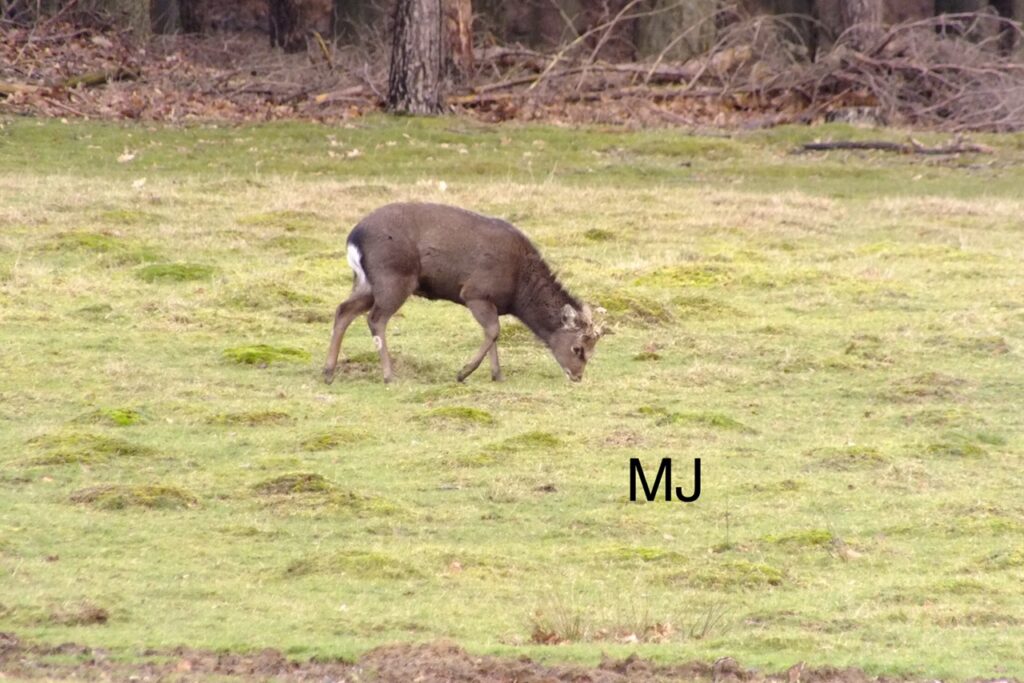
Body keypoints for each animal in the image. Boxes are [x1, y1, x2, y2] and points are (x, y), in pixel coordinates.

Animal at [322, 202, 604, 384]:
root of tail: (353, 238)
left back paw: (328, 371)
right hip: (393, 278)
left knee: (343, 310)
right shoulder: (475, 291)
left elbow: (493, 333)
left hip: (365, 282)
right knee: (375, 319)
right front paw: (463, 373)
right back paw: (389, 376)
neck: (518, 292)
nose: (577, 376)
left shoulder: (490, 301)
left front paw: (497, 375)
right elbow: (493, 331)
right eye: (578, 348)